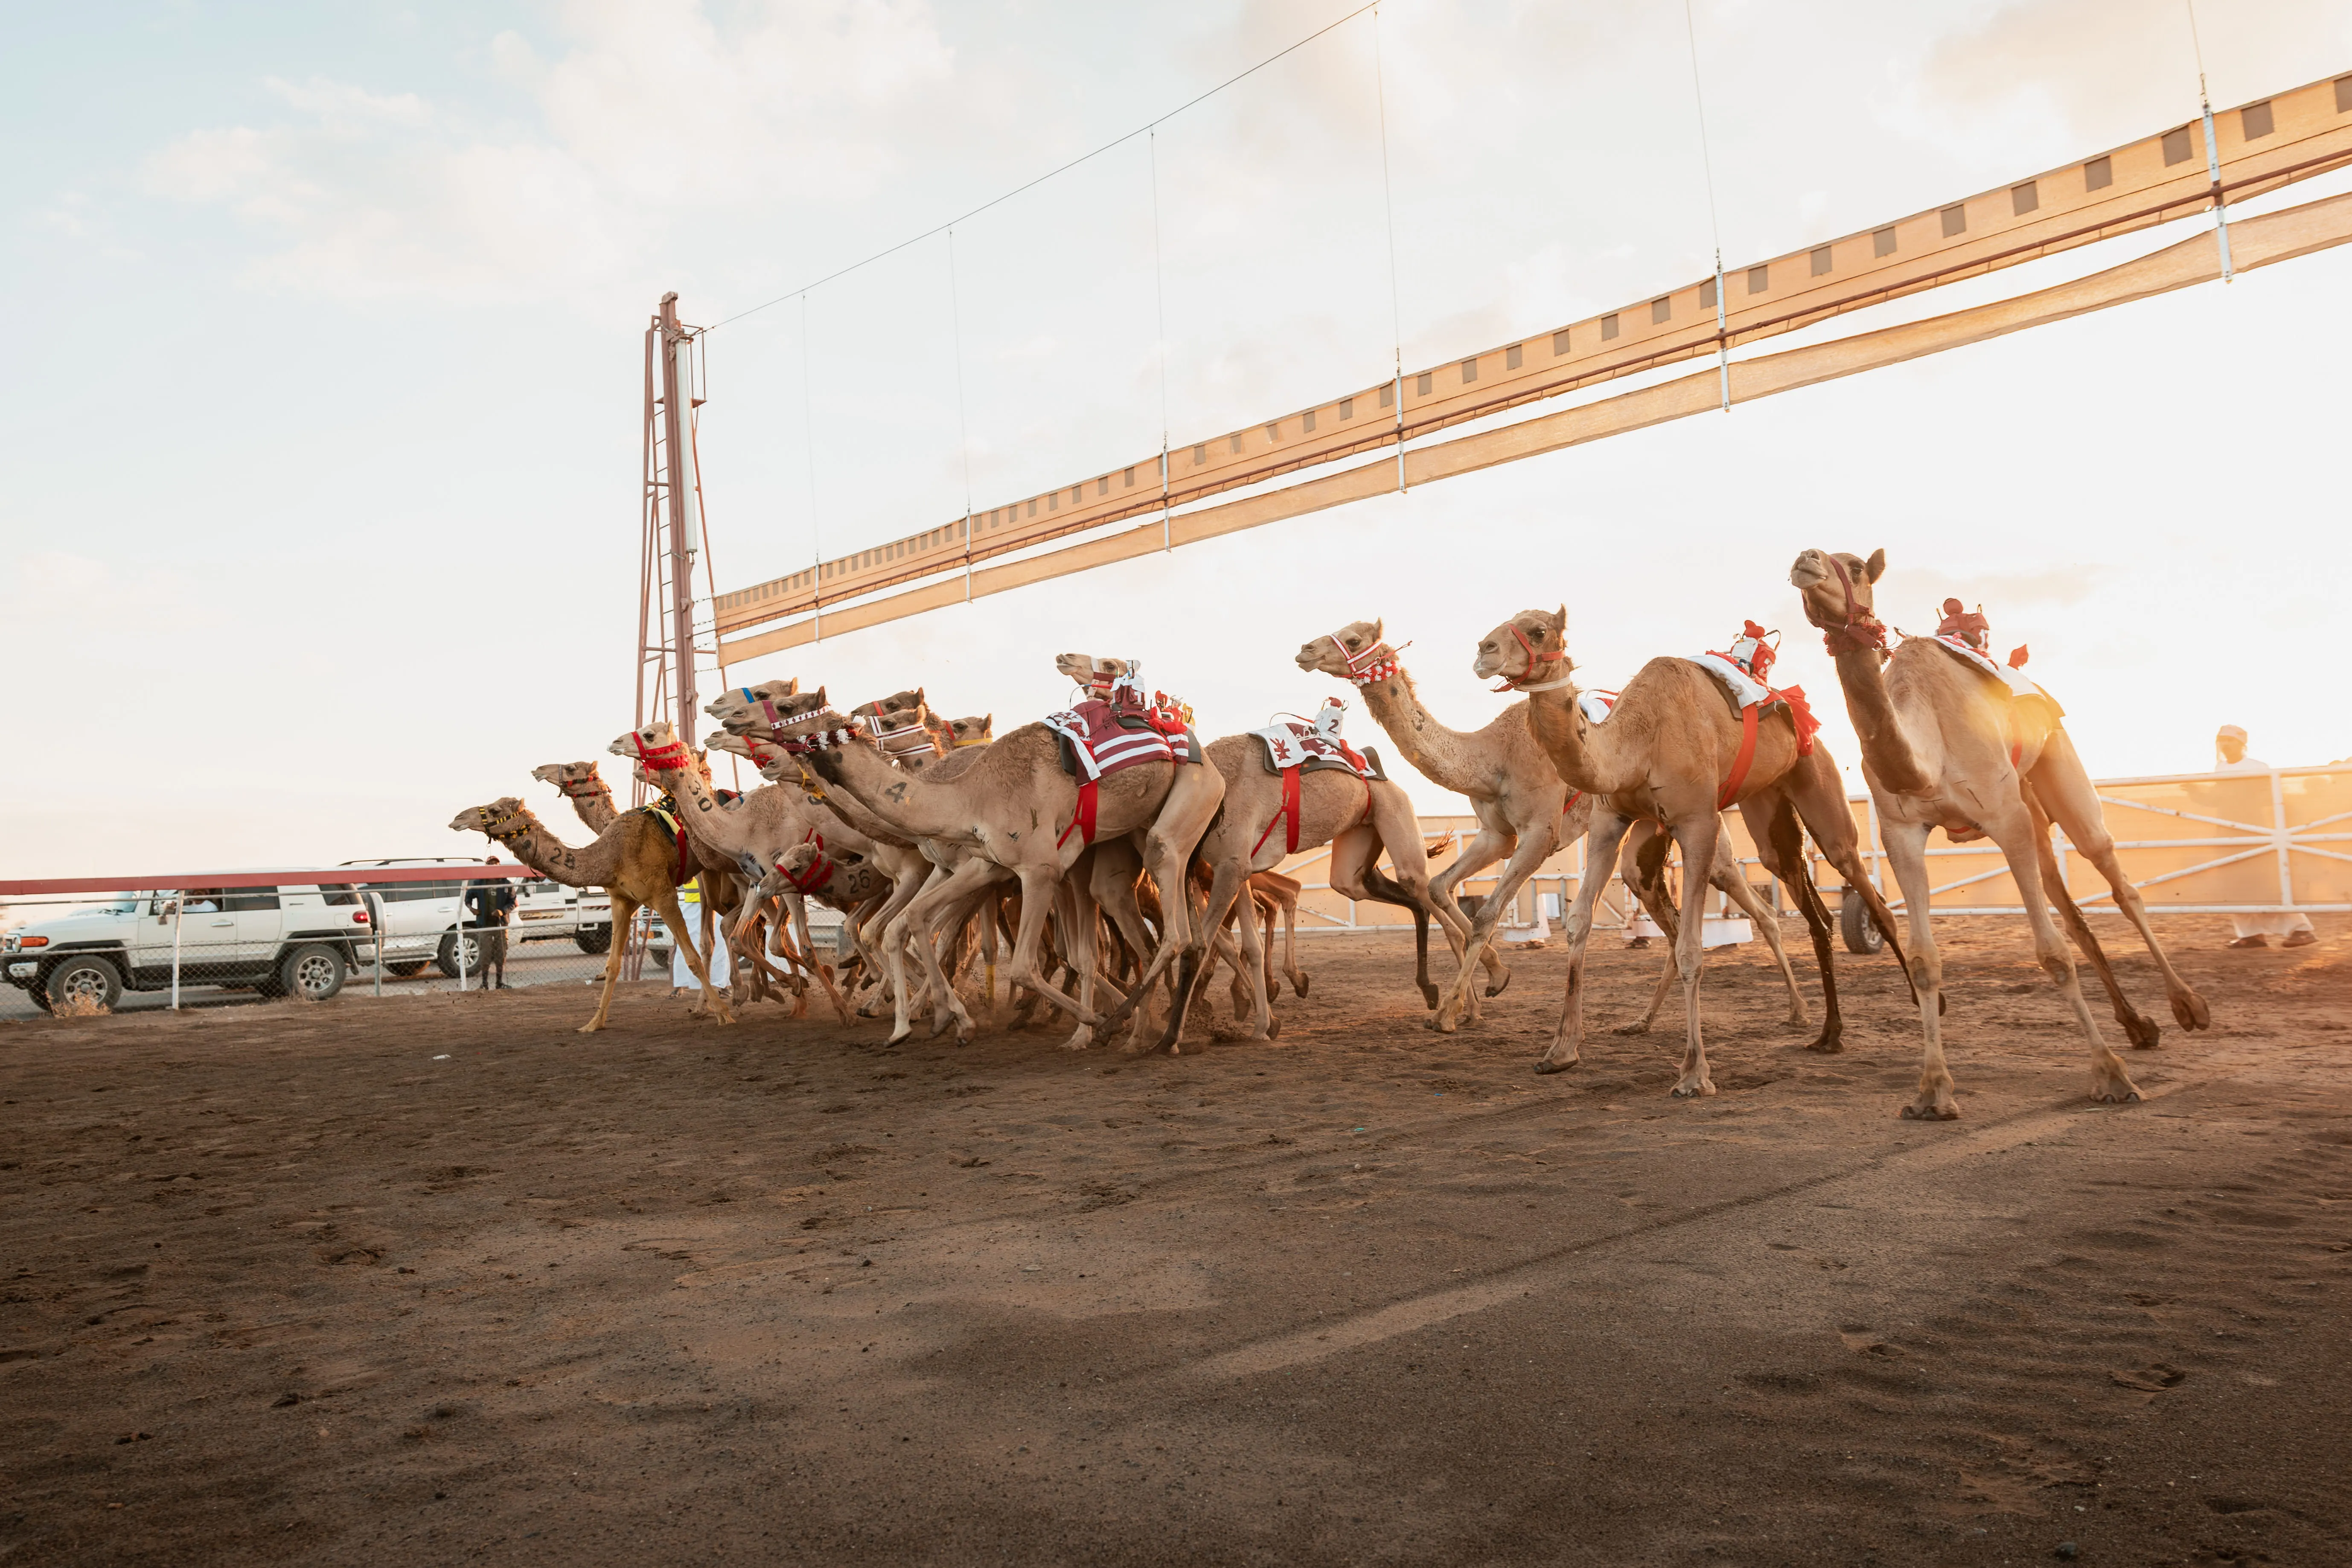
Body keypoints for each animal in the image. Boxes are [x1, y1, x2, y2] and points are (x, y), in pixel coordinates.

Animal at [447, 798, 734, 1032]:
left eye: (495, 810)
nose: (457, 818)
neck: (611, 856)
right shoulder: (621, 901)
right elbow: (612, 965)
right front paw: (594, 1023)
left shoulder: (663, 895)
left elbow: (691, 958)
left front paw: (725, 1015)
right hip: (705, 873)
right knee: (712, 936)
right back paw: (703, 1008)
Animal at [1472, 607, 1909, 1097]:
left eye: (1538, 631)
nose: (1484, 651)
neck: (1640, 739)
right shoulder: (1610, 820)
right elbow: (1579, 922)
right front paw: (1561, 1051)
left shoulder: (1699, 823)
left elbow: (1692, 948)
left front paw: (1694, 1074)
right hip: (1769, 808)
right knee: (1807, 901)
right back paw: (1826, 1033)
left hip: (1817, 780)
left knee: (1863, 885)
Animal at [1788, 548, 2207, 1117]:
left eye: (1853, 565)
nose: (1804, 561)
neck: (1926, 752)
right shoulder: (1902, 831)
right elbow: (1924, 960)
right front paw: (1931, 1091)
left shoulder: (2005, 818)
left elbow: (2051, 953)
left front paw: (2110, 1076)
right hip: (2029, 803)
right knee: (2069, 904)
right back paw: (2138, 1025)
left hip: (2056, 766)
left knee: (2117, 881)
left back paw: (2188, 1006)